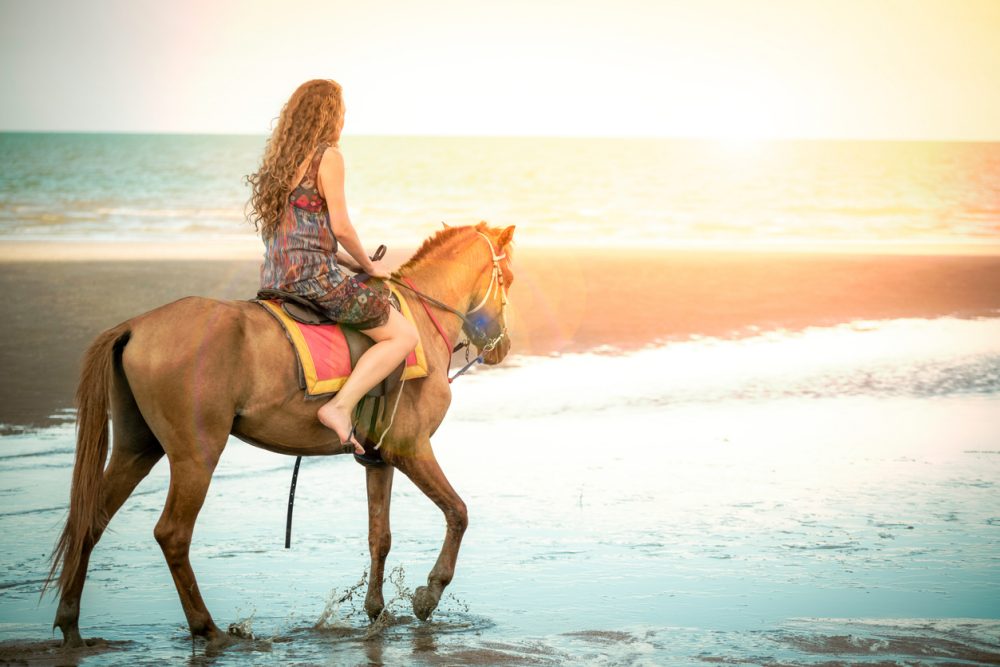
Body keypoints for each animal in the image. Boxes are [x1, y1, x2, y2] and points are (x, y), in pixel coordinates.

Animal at [46, 223, 516, 648]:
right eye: (508, 278)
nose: (503, 346)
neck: (419, 319)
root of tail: (135, 326)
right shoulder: (411, 448)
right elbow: (458, 512)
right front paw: (429, 594)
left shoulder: (379, 457)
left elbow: (378, 536)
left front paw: (375, 611)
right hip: (196, 454)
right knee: (173, 534)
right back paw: (207, 628)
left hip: (136, 448)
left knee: (91, 520)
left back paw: (71, 627)